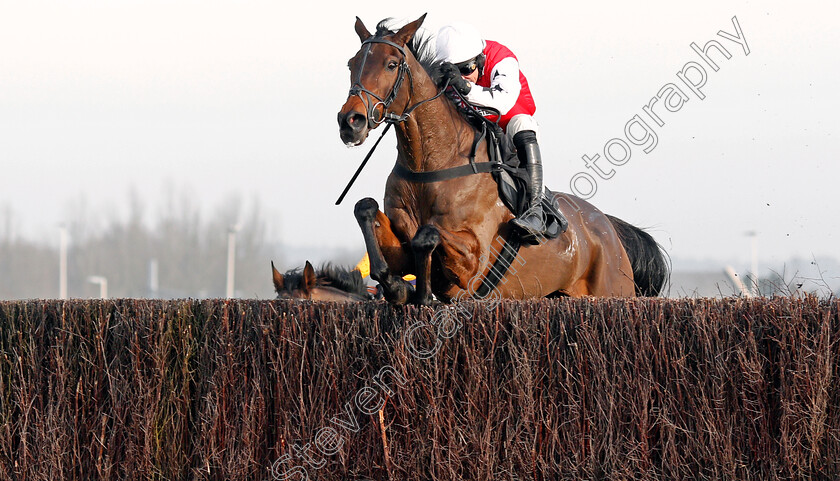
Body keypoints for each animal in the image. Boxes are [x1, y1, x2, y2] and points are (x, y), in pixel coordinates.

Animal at [338, 16, 668, 306]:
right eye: (352, 63)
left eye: (391, 65)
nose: (350, 121)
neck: (431, 163)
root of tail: (609, 228)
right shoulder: (401, 243)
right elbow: (365, 208)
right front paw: (395, 286)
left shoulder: (473, 260)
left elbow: (426, 234)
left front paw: (418, 292)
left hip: (613, 289)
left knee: (523, 125)